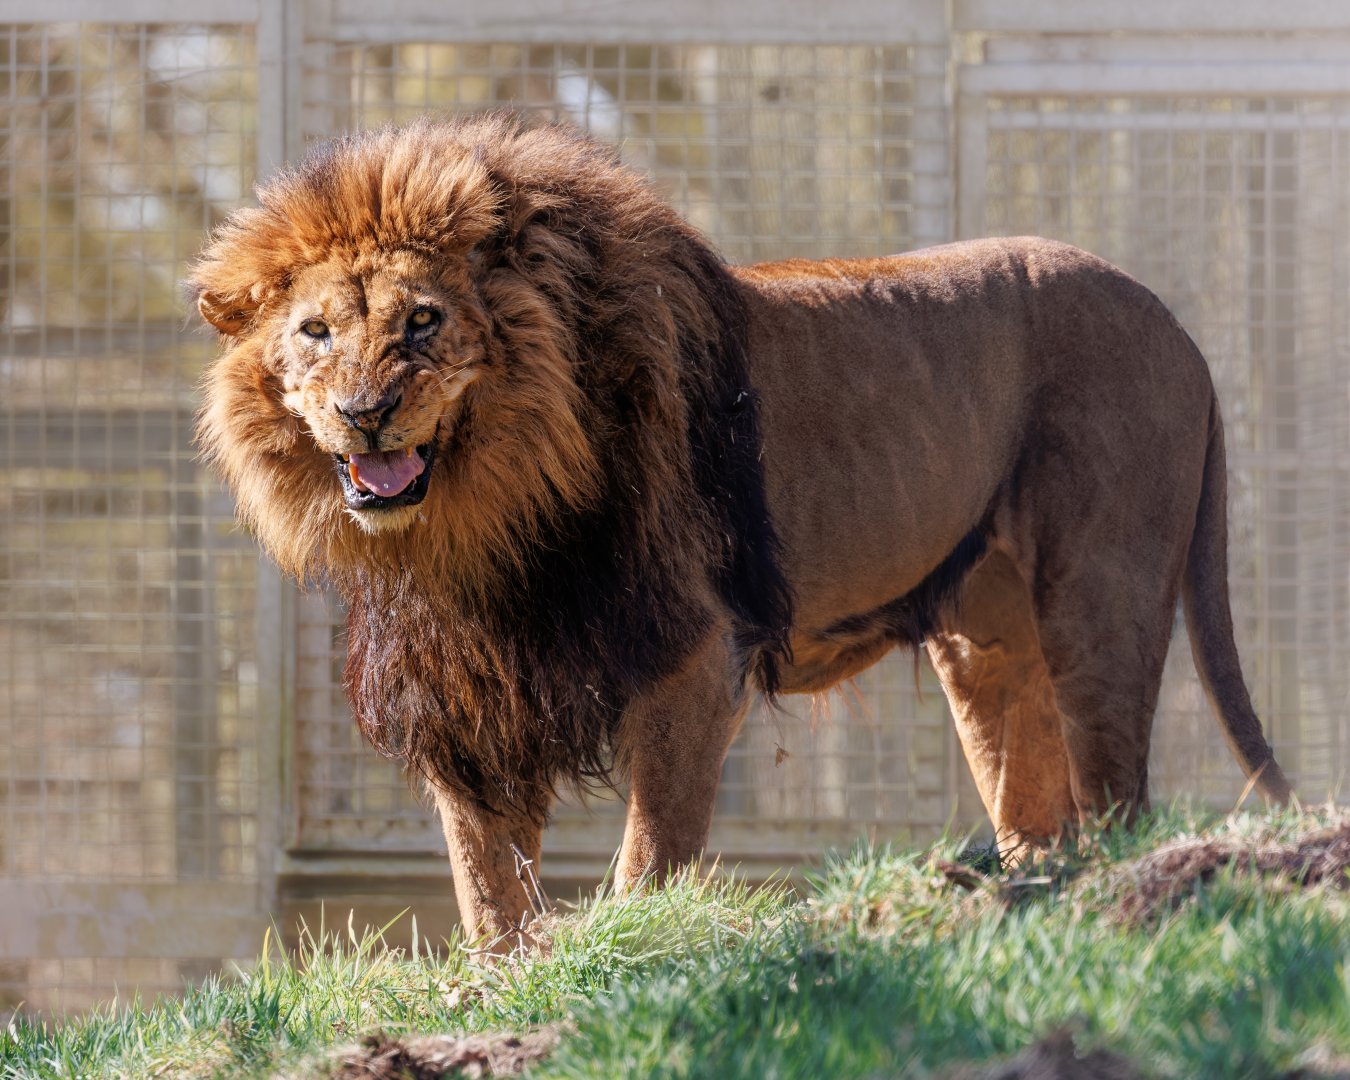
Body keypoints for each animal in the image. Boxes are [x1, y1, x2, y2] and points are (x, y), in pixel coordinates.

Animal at [190, 113, 1292, 946]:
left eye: (421, 322)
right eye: (315, 333)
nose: (366, 412)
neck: (478, 526)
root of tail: (1182, 331)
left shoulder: (695, 649)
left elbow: (651, 850)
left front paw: (625, 963)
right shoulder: (468, 690)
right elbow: (487, 883)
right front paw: (501, 976)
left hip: (1098, 597)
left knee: (1118, 793)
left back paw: (1113, 901)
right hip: (983, 638)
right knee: (1032, 798)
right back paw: (1015, 897)